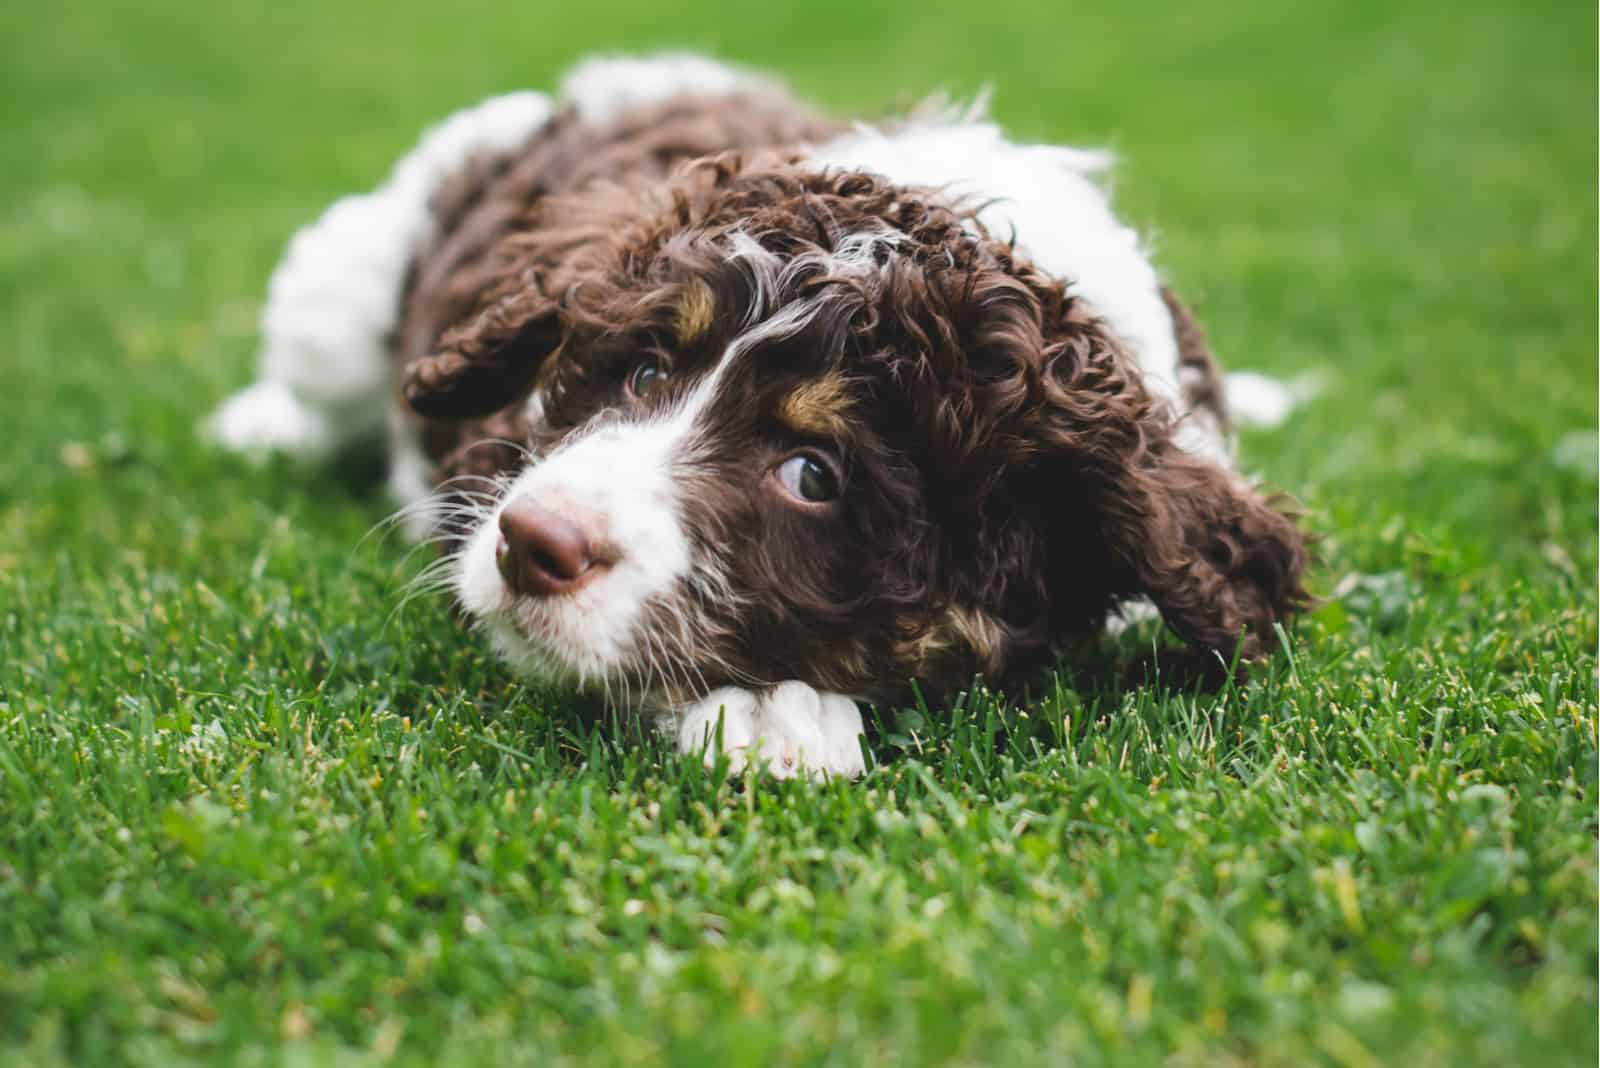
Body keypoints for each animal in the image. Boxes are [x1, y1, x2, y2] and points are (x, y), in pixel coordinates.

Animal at [209, 54, 1312, 780]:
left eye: (813, 474)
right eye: (645, 372)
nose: (532, 542)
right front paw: (771, 715)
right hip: (344, 281)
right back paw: (259, 425)